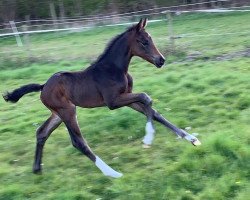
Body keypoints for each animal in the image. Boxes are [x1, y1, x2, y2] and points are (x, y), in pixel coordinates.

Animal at [2, 18, 200, 178]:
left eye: (150, 39)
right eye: (144, 42)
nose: (161, 60)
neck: (115, 69)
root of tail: (43, 86)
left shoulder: (127, 98)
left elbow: (153, 110)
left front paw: (192, 139)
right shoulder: (113, 102)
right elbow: (146, 97)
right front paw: (148, 139)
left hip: (58, 113)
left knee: (42, 132)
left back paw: (37, 169)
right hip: (68, 111)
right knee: (77, 141)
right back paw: (112, 173)